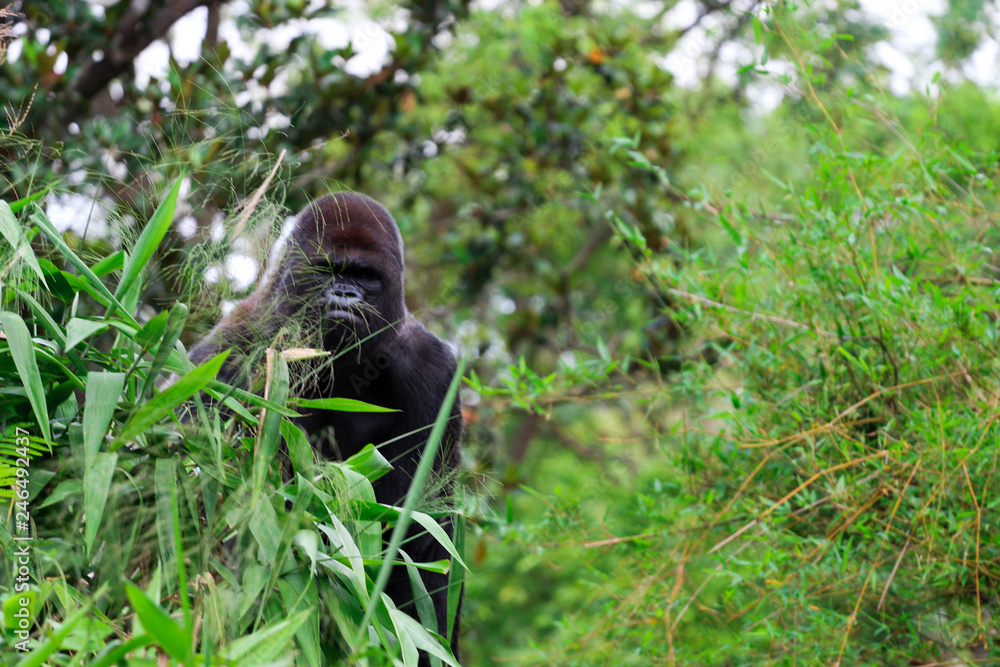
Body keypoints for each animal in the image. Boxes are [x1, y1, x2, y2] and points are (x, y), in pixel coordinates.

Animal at [189, 192, 463, 659]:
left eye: (365, 276)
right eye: (328, 271)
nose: (344, 294)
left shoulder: (433, 373)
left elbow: (414, 535)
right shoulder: (228, 352)